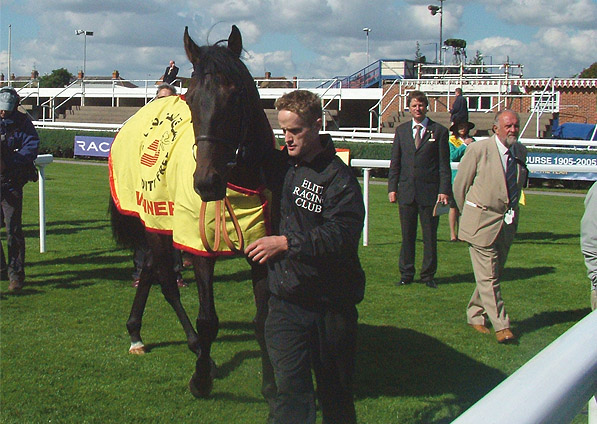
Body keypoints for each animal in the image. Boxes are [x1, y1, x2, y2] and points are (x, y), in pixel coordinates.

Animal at [109, 26, 278, 408]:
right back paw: (195, 350)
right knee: (166, 283)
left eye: (235, 94)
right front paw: (200, 379)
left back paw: (135, 332)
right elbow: (207, 320)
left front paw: (271, 385)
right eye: (190, 98)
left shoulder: (262, 248)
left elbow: (263, 318)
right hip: (154, 221)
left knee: (150, 271)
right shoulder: (199, 246)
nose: (205, 182)